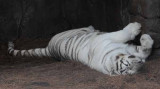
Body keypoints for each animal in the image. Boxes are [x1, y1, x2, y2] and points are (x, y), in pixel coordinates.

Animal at [7, 21, 154, 75]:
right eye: (128, 69)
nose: (141, 65)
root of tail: (49, 48)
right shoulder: (108, 38)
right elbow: (123, 33)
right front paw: (138, 28)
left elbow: (145, 49)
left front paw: (145, 38)